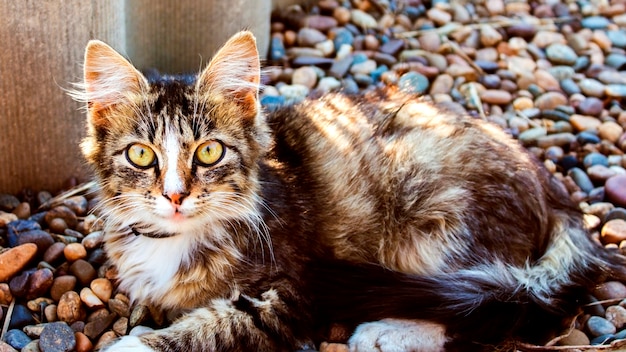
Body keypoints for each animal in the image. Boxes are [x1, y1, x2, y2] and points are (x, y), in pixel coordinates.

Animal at [75, 31, 624, 352]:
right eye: (141, 155)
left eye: (209, 153)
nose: (174, 196)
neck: (176, 240)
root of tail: (553, 184)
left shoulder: (290, 290)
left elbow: (212, 326)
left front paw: (134, 345)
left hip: (430, 214)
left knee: (478, 296)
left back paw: (389, 331)